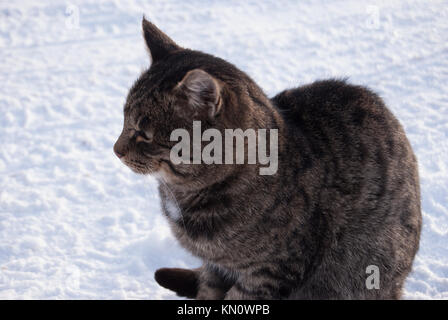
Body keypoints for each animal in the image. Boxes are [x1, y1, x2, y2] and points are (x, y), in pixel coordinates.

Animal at [114, 18, 422, 300]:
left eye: (143, 133)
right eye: (125, 119)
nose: (116, 149)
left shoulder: (270, 272)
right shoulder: (216, 267)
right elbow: (209, 291)